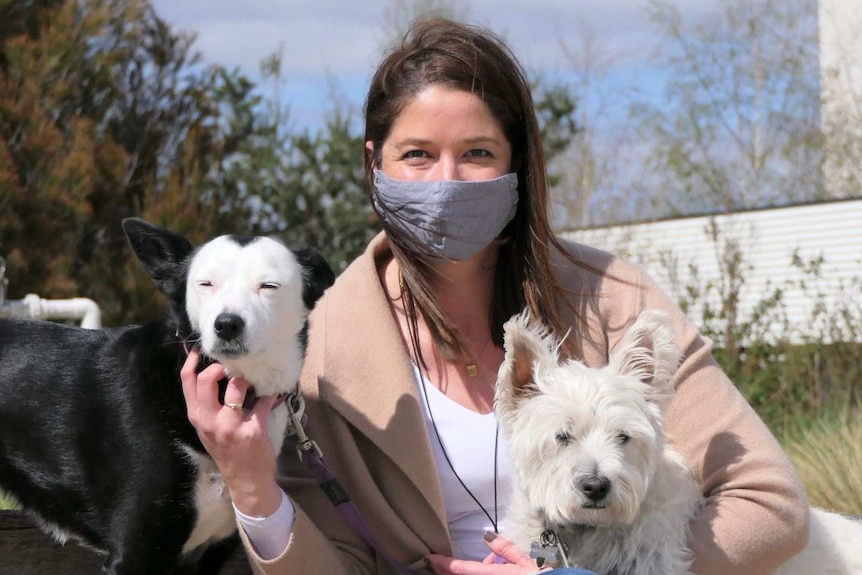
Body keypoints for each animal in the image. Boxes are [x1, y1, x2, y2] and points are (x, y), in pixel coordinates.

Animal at [0, 218, 336, 572]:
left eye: (269, 286)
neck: (230, 387)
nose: (227, 325)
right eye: (205, 284)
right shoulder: (133, 554)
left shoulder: (209, 555)